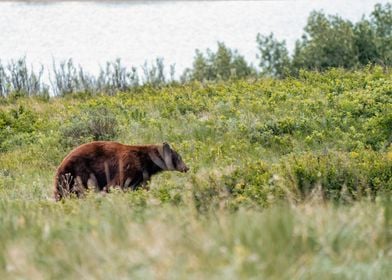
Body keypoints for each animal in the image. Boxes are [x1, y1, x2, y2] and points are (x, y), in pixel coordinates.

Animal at [53, 141, 188, 200]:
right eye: (179, 157)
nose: (187, 168)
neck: (146, 160)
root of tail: (61, 165)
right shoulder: (130, 167)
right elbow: (119, 184)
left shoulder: (143, 175)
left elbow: (142, 186)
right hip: (80, 173)